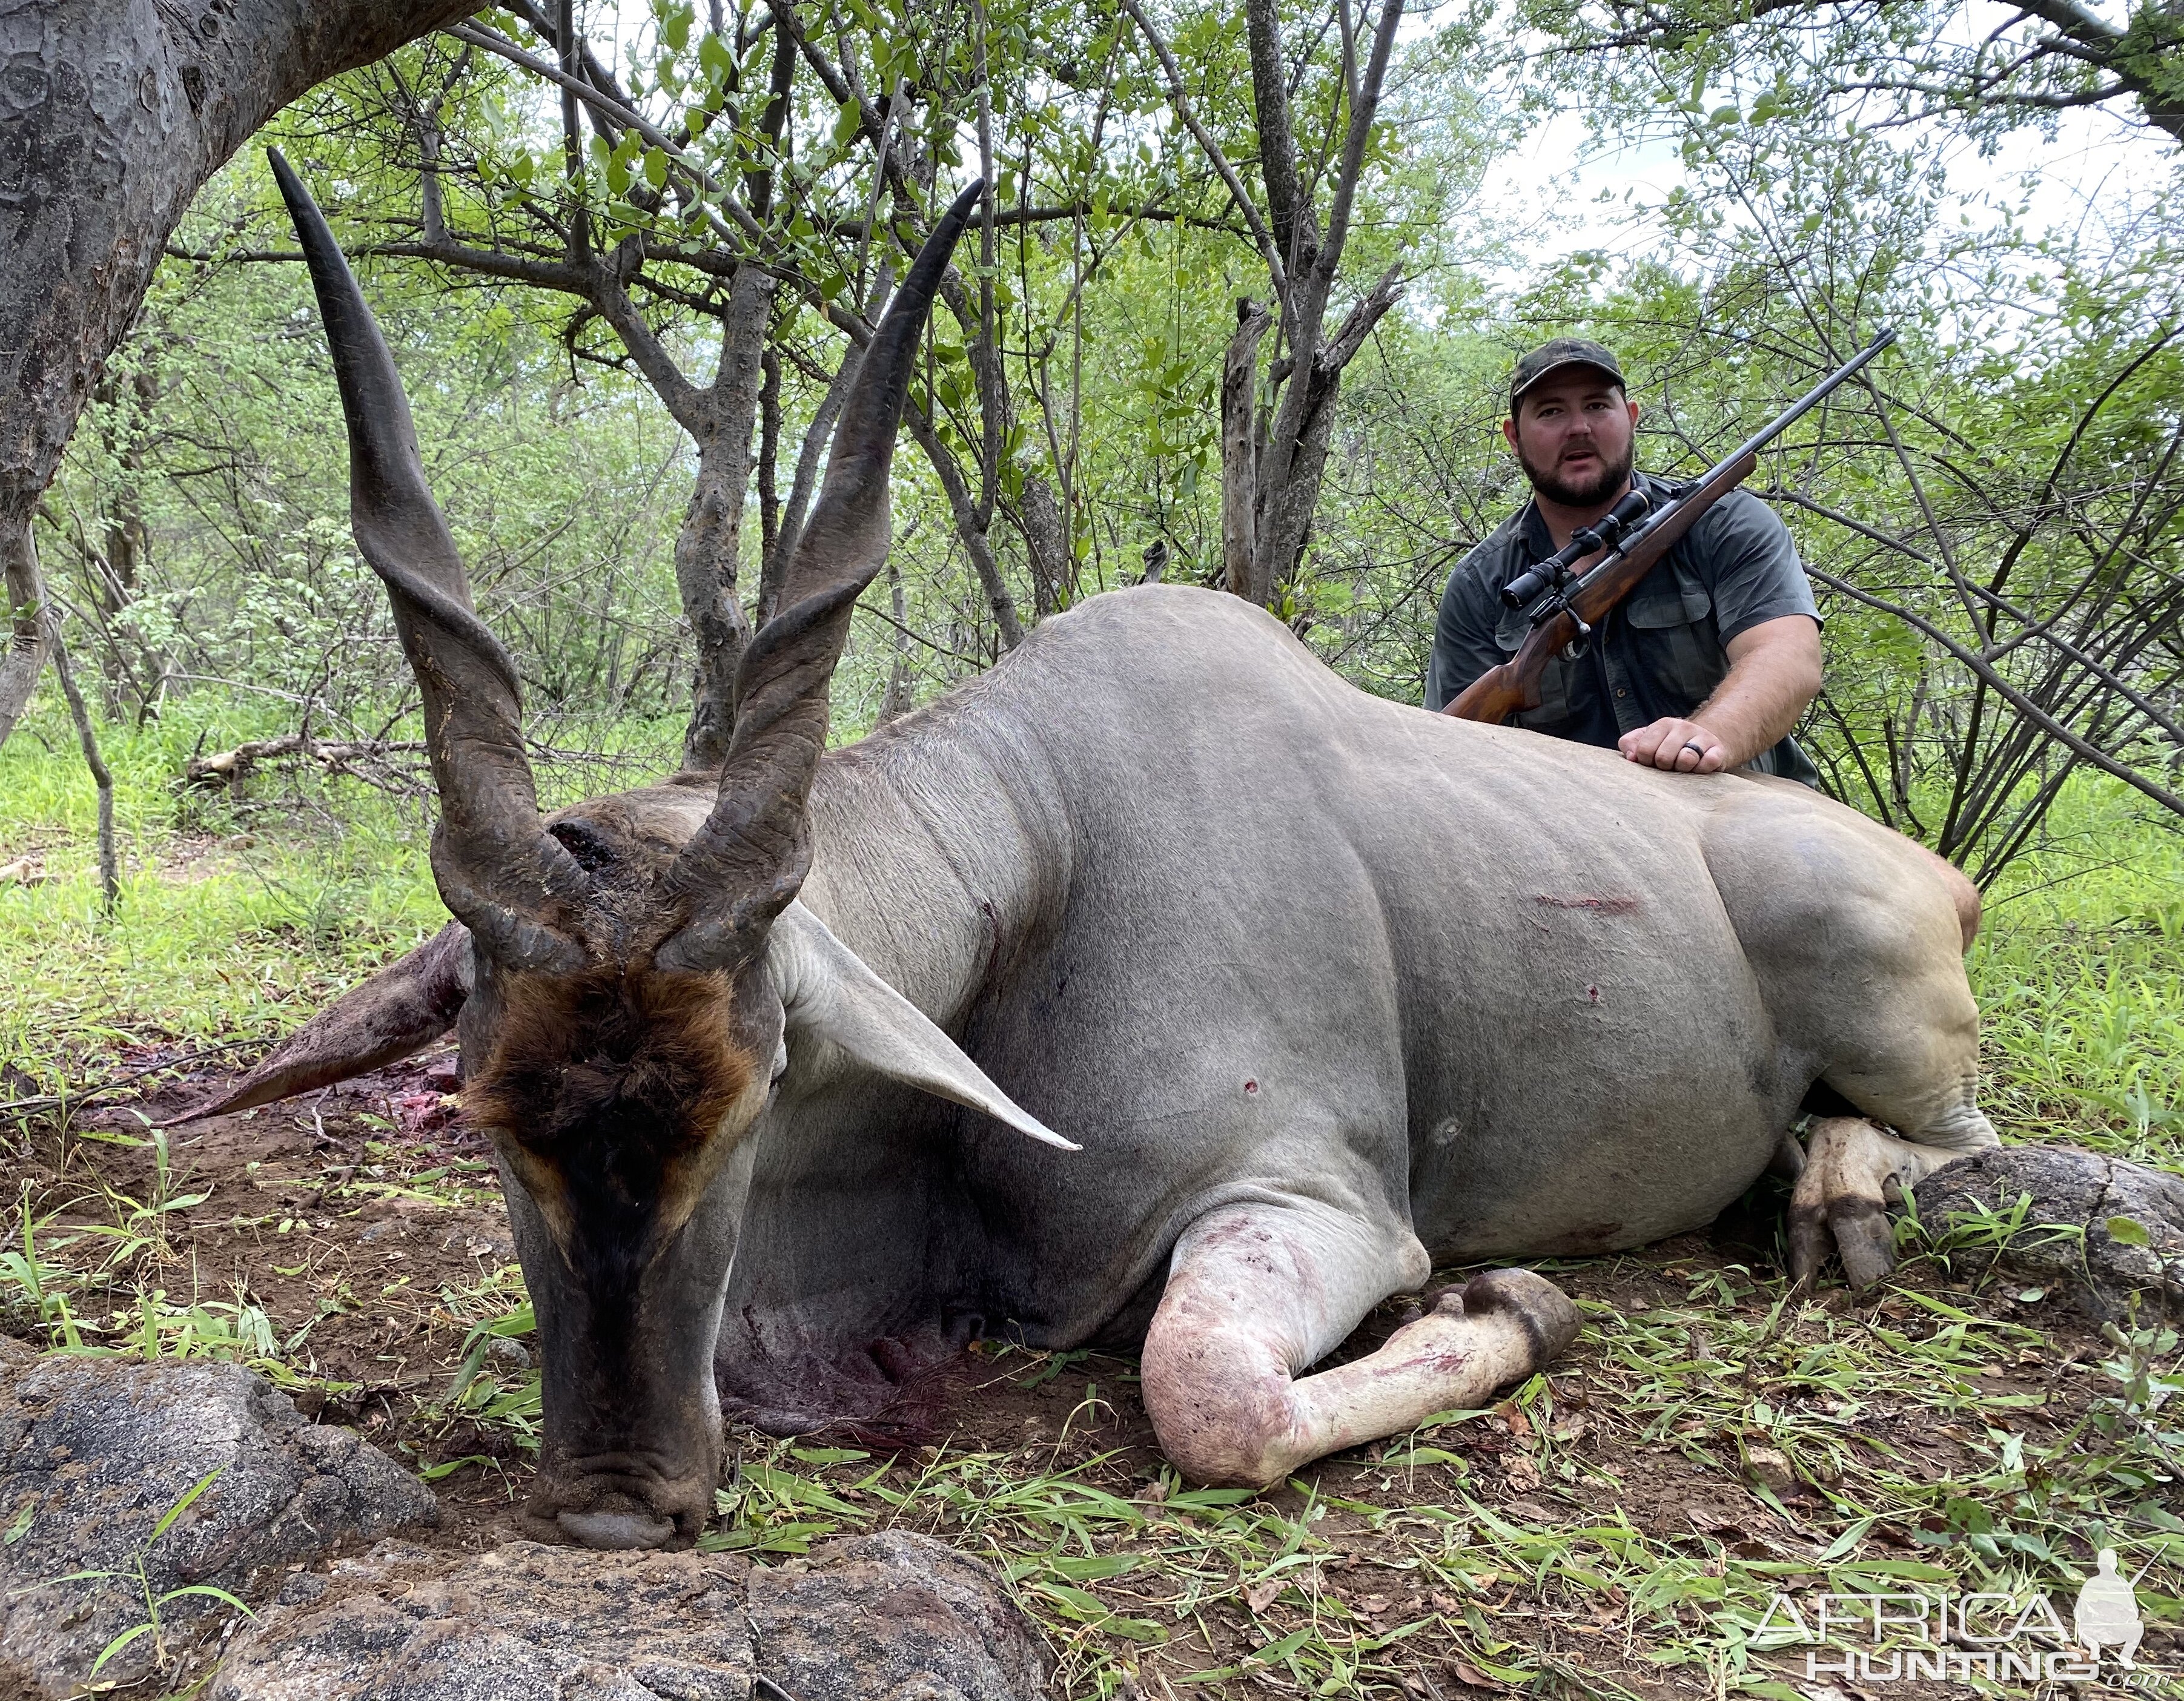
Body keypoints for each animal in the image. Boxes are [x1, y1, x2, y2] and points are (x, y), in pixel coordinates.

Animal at [217, 153, 2000, 1545]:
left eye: (754, 1094)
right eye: (483, 1112)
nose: (611, 1500)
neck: (1045, 870)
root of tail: (1945, 877)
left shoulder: (1316, 1198)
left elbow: (1207, 1394)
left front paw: (1518, 1300)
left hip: (1866, 981)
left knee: (1965, 1142)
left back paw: (1835, 1192)